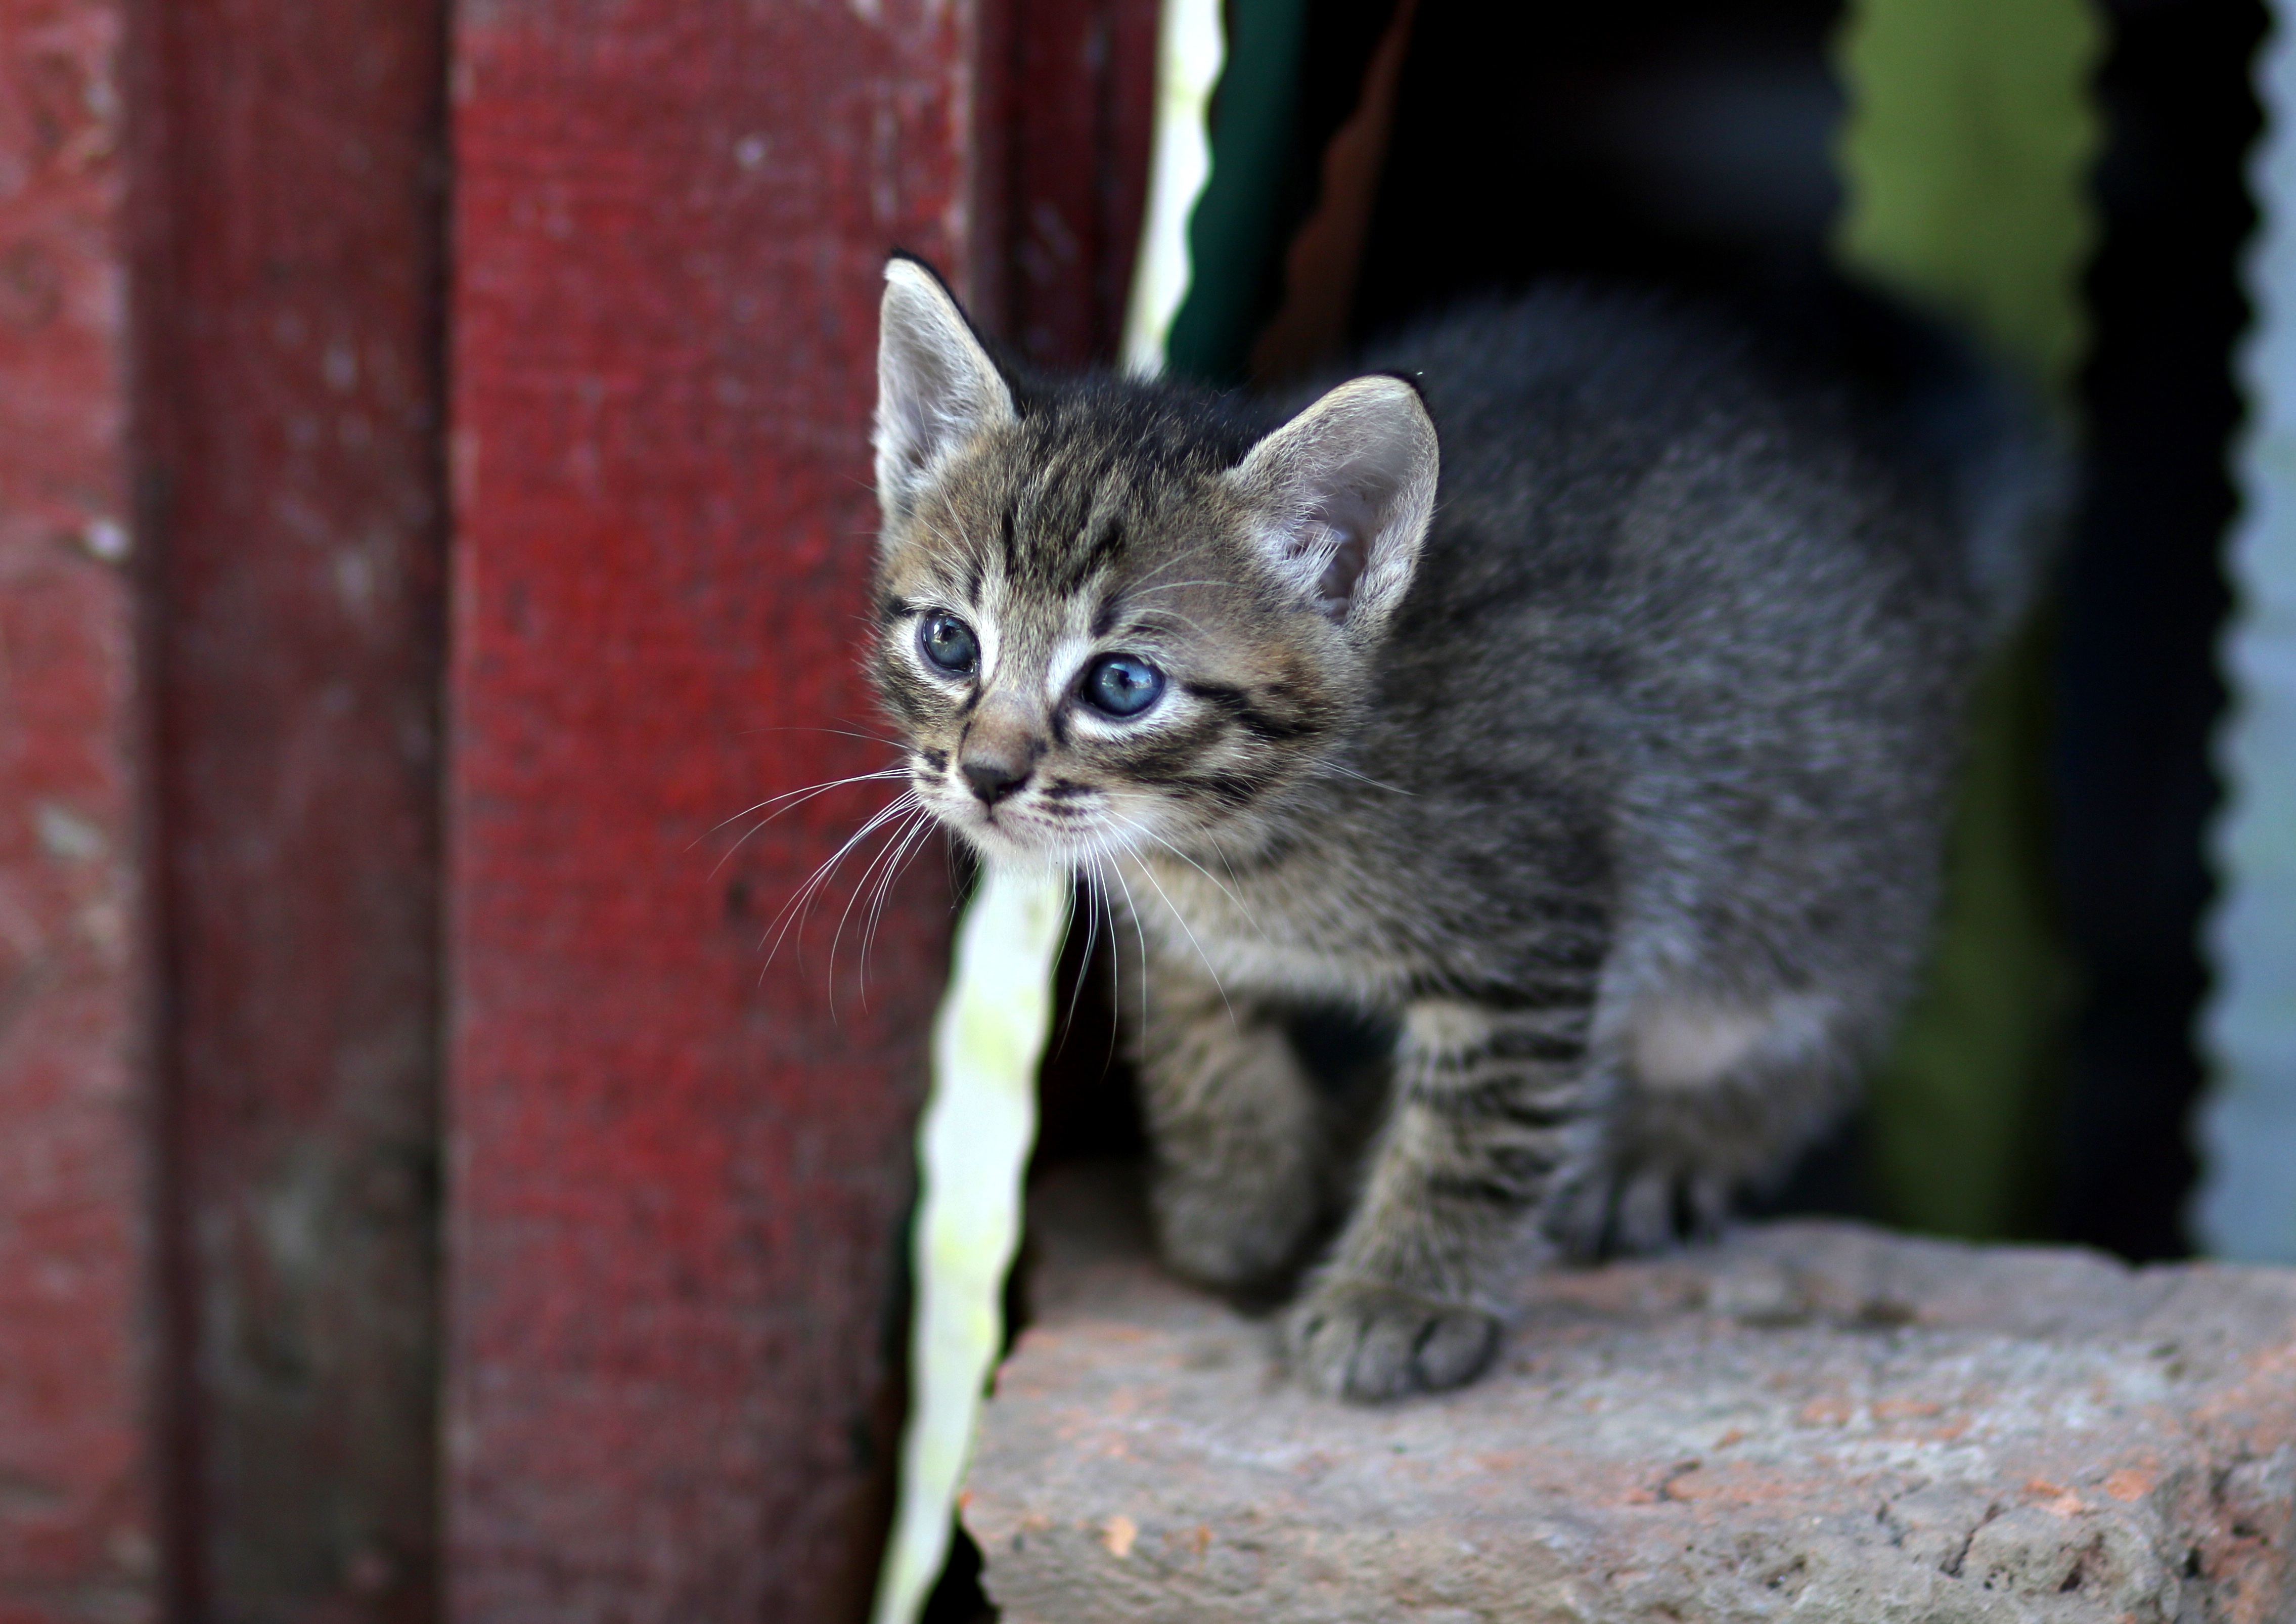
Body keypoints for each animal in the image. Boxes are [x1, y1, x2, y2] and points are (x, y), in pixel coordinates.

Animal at [863, 260, 2066, 1406]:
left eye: (1120, 685)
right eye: (949, 643)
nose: (983, 774)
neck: (1238, 834)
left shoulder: (1534, 935)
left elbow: (1472, 1138)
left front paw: (1401, 1297)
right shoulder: (1175, 924)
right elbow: (1201, 1045)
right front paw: (1240, 1203)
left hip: (1806, 862)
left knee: (1820, 1014)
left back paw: (1671, 1143)